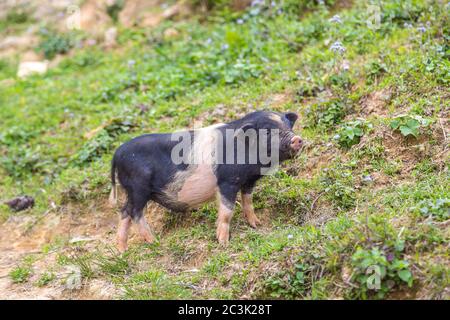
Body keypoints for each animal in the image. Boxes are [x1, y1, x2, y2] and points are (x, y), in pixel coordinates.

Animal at [109, 111, 302, 251]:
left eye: (287, 125)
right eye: (267, 131)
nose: (297, 139)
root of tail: (117, 154)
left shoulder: (248, 181)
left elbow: (248, 202)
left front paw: (257, 224)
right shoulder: (227, 181)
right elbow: (227, 211)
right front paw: (224, 243)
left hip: (132, 190)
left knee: (124, 212)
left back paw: (122, 250)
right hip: (138, 187)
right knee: (134, 212)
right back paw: (154, 242)